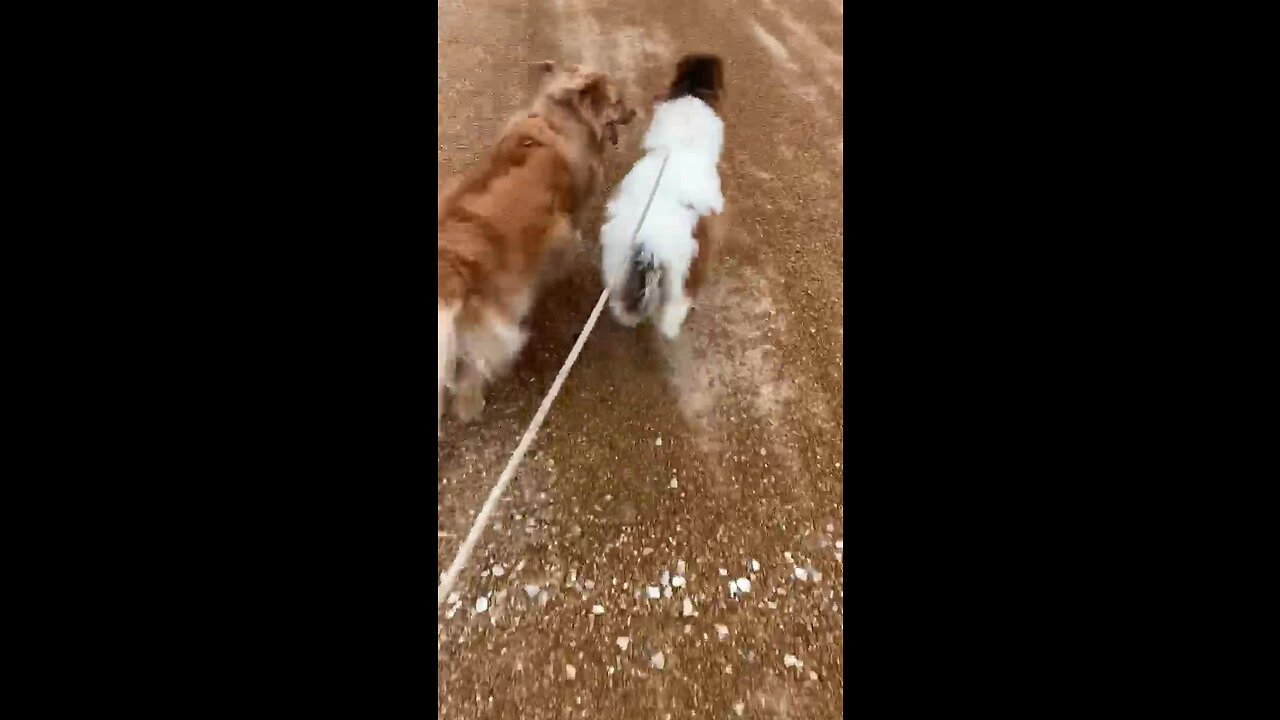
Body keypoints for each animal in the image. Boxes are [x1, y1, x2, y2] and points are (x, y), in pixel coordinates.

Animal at [440, 64, 634, 427]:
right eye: (619, 101)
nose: (636, 113)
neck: (563, 117)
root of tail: (451, 266)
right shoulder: (565, 223)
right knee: (472, 373)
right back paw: (472, 406)